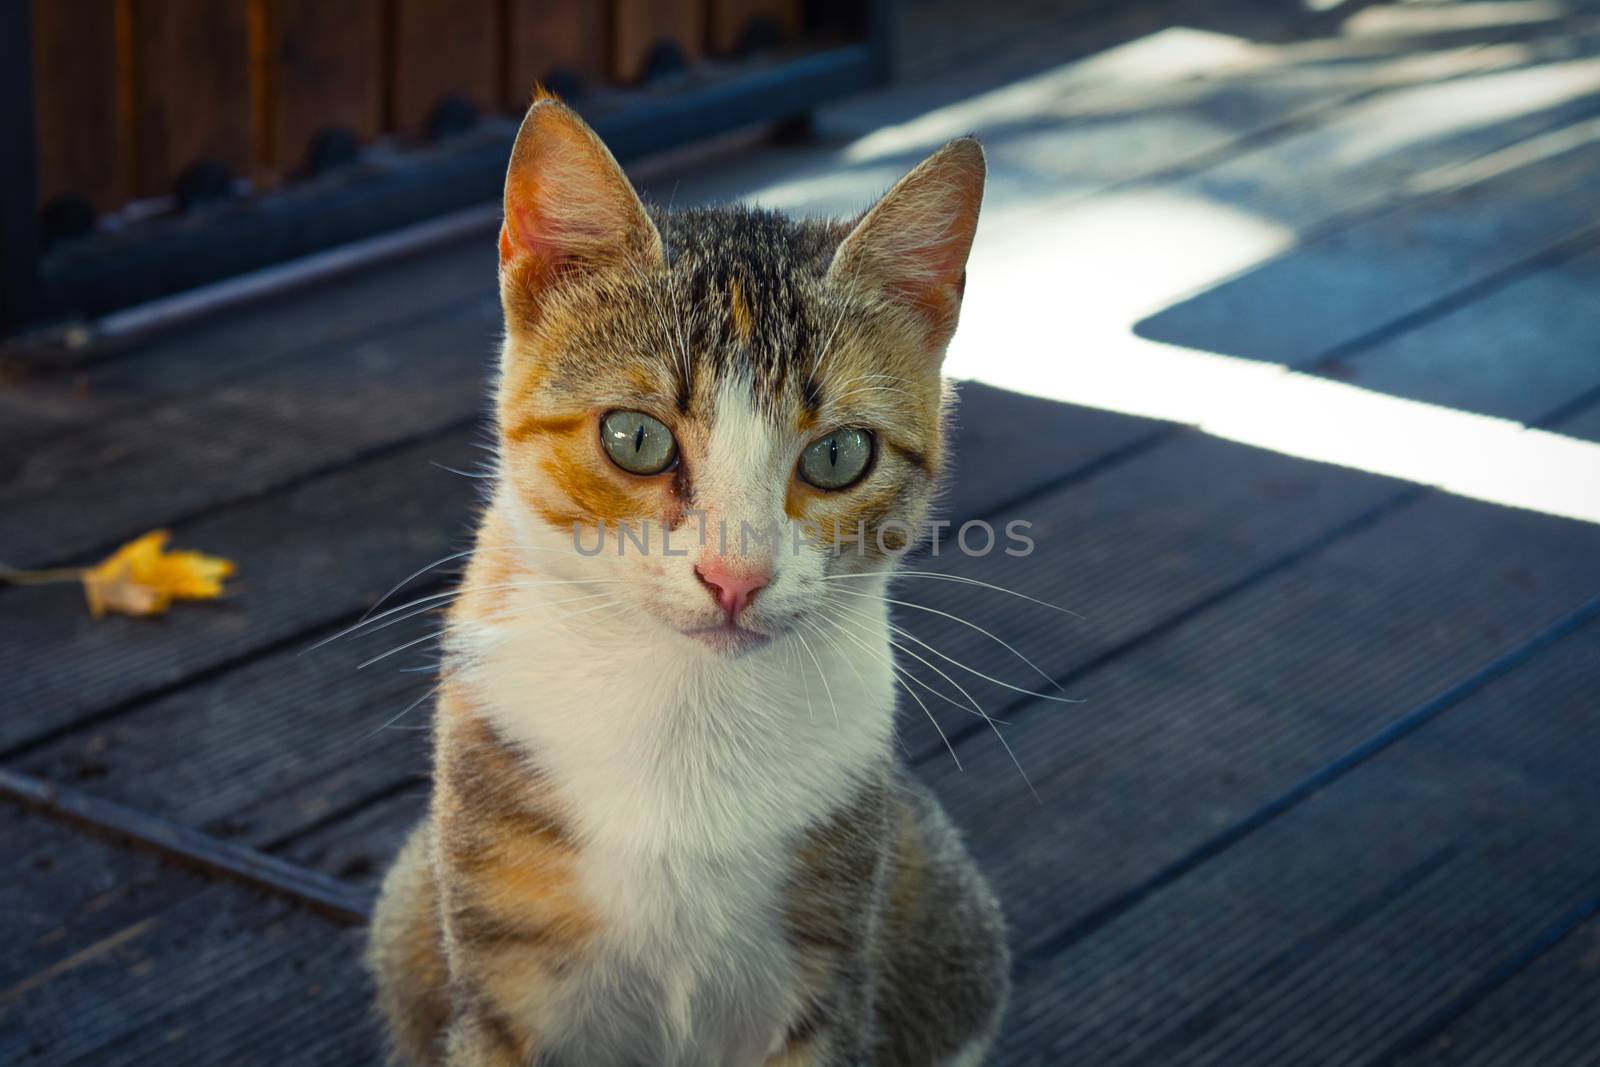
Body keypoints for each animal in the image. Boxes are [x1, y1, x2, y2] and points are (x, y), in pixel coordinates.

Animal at [368, 99, 1004, 1067]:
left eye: (839, 454)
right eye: (635, 437)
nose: (735, 576)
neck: (687, 711)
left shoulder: (827, 976)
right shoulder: (501, 983)